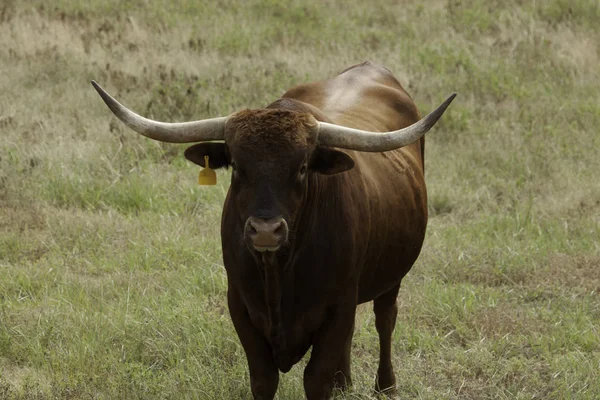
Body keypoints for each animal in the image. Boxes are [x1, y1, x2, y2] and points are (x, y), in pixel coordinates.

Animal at [92, 61, 454, 398]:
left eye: (303, 168)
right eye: (237, 166)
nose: (265, 231)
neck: (278, 270)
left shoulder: (338, 307)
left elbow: (317, 380)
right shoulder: (240, 305)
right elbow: (263, 380)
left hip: (392, 277)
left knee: (385, 319)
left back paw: (386, 386)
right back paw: (345, 384)